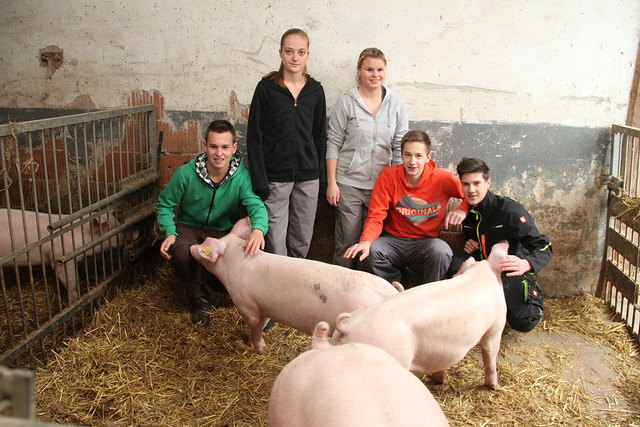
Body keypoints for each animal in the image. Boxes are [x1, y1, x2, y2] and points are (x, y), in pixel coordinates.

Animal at [188, 219, 402, 352]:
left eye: (205, 248)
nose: (191, 247)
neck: (233, 266)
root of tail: (390, 295)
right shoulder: (264, 306)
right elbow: (264, 322)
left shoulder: (247, 305)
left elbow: (255, 326)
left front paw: (257, 348)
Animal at [332, 241, 508, 392]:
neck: (480, 275)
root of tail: (347, 327)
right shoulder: (495, 328)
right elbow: (490, 358)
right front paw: (496, 387)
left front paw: (440, 380)